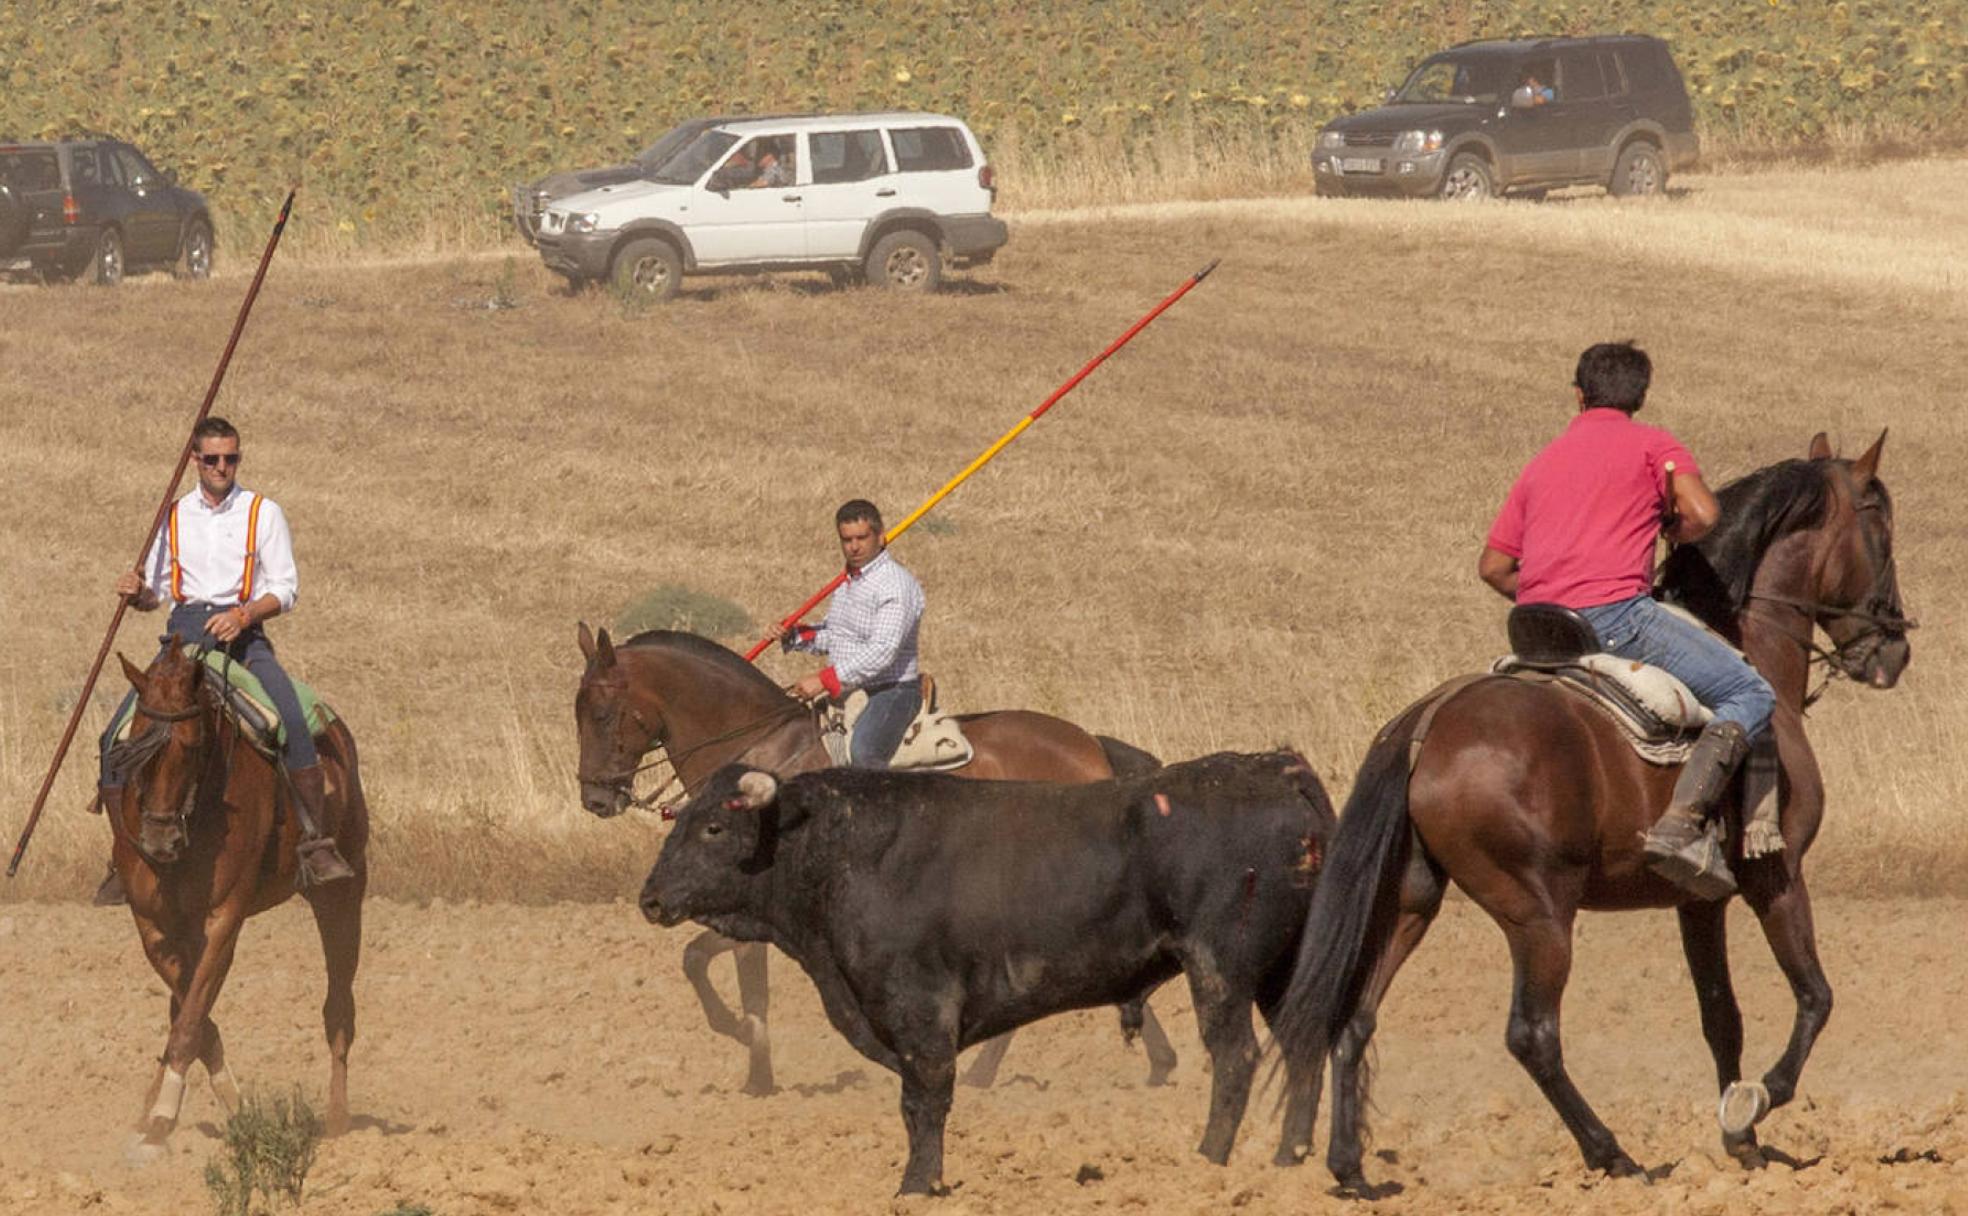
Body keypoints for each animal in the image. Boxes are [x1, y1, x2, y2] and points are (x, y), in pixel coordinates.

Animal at [108, 637, 369, 1156]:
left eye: (191, 747)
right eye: (133, 748)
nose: (159, 842)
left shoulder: (223, 918)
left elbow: (191, 1018)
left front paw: (169, 1113)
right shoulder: (155, 925)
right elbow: (191, 1011)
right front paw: (212, 1105)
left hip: (343, 893)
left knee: (338, 1006)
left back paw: (337, 1121)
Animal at [574, 621, 1172, 1094]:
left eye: (602, 713)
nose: (595, 798)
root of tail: (1091, 746)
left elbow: (720, 968)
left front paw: (754, 1062)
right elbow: (712, 968)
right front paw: (755, 1069)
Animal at [645, 747, 1338, 1196]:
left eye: (713, 827)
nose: (650, 898)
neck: (843, 851)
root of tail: (1270, 767)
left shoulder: (920, 1009)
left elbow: (924, 1099)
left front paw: (917, 1186)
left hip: (1220, 967)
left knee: (1236, 1058)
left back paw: (1209, 1161)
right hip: (1284, 970)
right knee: (1303, 1048)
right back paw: (1289, 1157)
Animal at [1275, 430, 1905, 1188]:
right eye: (1882, 527)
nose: (1896, 648)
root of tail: (1431, 718)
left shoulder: (1699, 901)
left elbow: (1721, 1016)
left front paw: (1741, 1143)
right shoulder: (1775, 878)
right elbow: (1816, 997)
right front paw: (1756, 1102)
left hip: (1412, 901)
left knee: (1358, 1018)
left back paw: (1351, 1169)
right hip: (1540, 913)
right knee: (1533, 1035)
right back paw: (1613, 1155)